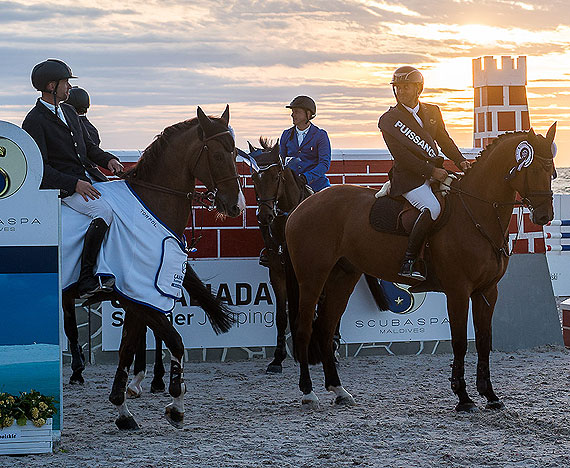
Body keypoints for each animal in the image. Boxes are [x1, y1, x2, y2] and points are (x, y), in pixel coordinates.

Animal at [62, 106, 244, 428]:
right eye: (217, 155)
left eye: (235, 153)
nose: (235, 206)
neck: (152, 202)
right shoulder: (141, 296)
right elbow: (175, 341)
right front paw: (176, 402)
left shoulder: (136, 296)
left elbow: (127, 348)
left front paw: (122, 409)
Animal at [286, 123, 552, 410]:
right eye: (535, 169)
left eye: (552, 171)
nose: (544, 216)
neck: (476, 213)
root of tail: (302, 205)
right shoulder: (458, 291)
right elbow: (460, 342)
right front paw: (463, 397)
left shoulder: (488, 291)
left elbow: (484, 341)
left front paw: (490, 395)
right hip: (312, 278)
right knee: (304, 329)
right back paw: (308, 392)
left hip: (343, 277)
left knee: (325, 329)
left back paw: (339, 390)